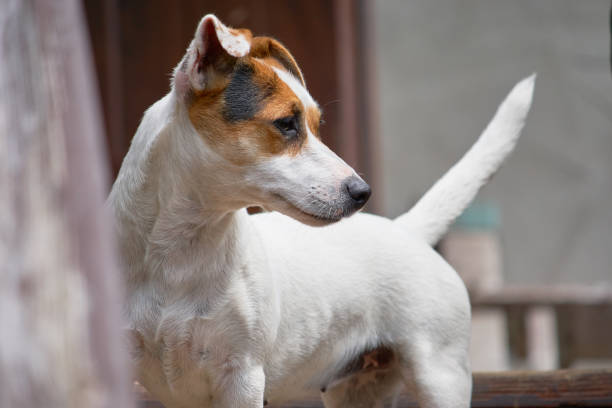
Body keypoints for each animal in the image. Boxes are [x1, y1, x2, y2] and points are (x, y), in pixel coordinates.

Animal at [110, 14, 536, 406]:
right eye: (286, 123)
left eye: (317, 124)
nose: (362, 191)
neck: (178, 252)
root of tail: (405, 230)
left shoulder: (242, 376)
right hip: (359, 391)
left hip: (440, 376)